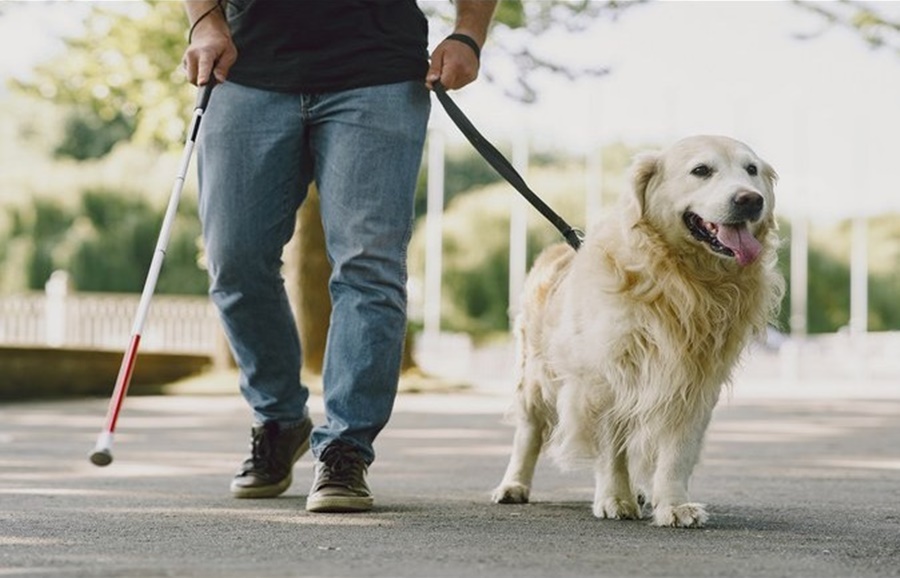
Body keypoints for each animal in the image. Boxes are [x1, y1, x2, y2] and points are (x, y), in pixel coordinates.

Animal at [492, 133, 780, 524]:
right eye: (701, 170)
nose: (751, 199)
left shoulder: (694, 382)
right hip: (535, 377)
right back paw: (513, 485)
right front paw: (615, 498)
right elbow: (611, 448)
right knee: (529, 432)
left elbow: (676, 452)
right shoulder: (606, 378)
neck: (681, 279)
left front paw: (673, 504)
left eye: (751, 169)